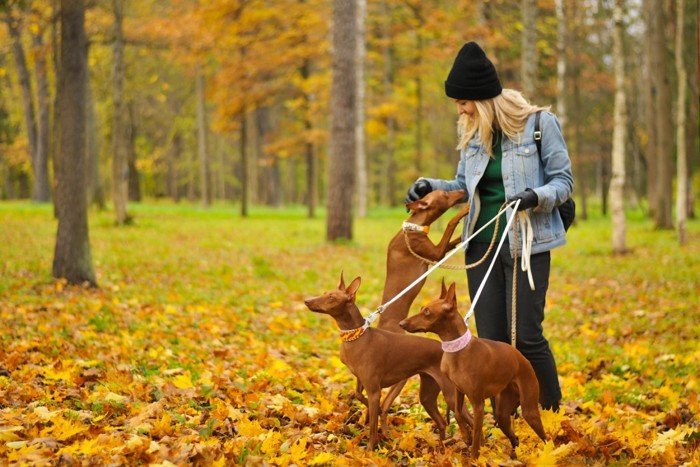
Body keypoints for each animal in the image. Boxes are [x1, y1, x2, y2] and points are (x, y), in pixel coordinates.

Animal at [304, 276, 474, 452]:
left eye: (331, 297)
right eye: (324, 293)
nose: (307, 301)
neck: (358, 337)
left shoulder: (374, 392)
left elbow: (373, 427)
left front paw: (370, 450)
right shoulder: (362, 382)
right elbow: (359, 396)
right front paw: (379, 413)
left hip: (450, 395)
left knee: (472, 420)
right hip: (427, 395)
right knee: (441, 422)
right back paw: (441, 449)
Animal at [400, 280, 548, 458]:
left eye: (427, 312)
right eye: (422, 308)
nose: (401, 323)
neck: (458, 350)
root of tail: (523, 358)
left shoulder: (478, 404)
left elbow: (478, 435)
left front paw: (473, 457)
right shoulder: (458, 391)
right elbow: (458, 413)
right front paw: (465, 436)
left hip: (529, 410)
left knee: (546, 439)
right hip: (503, 415)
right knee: (515, 437)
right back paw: (513, 456)